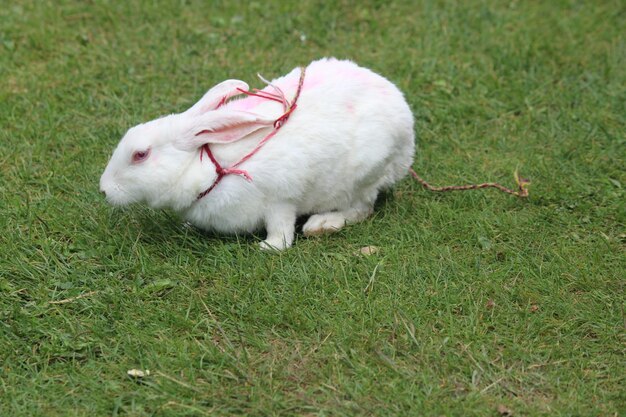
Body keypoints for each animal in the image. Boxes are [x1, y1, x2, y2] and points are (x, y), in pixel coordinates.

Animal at [100, 57, 414, 249]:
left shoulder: (280, 197)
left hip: (365, 175)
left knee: (362, 208)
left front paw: (269, 247)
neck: (209, 169)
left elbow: (281, 227)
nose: (104, 190)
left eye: (140, 155)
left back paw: (322, 224)